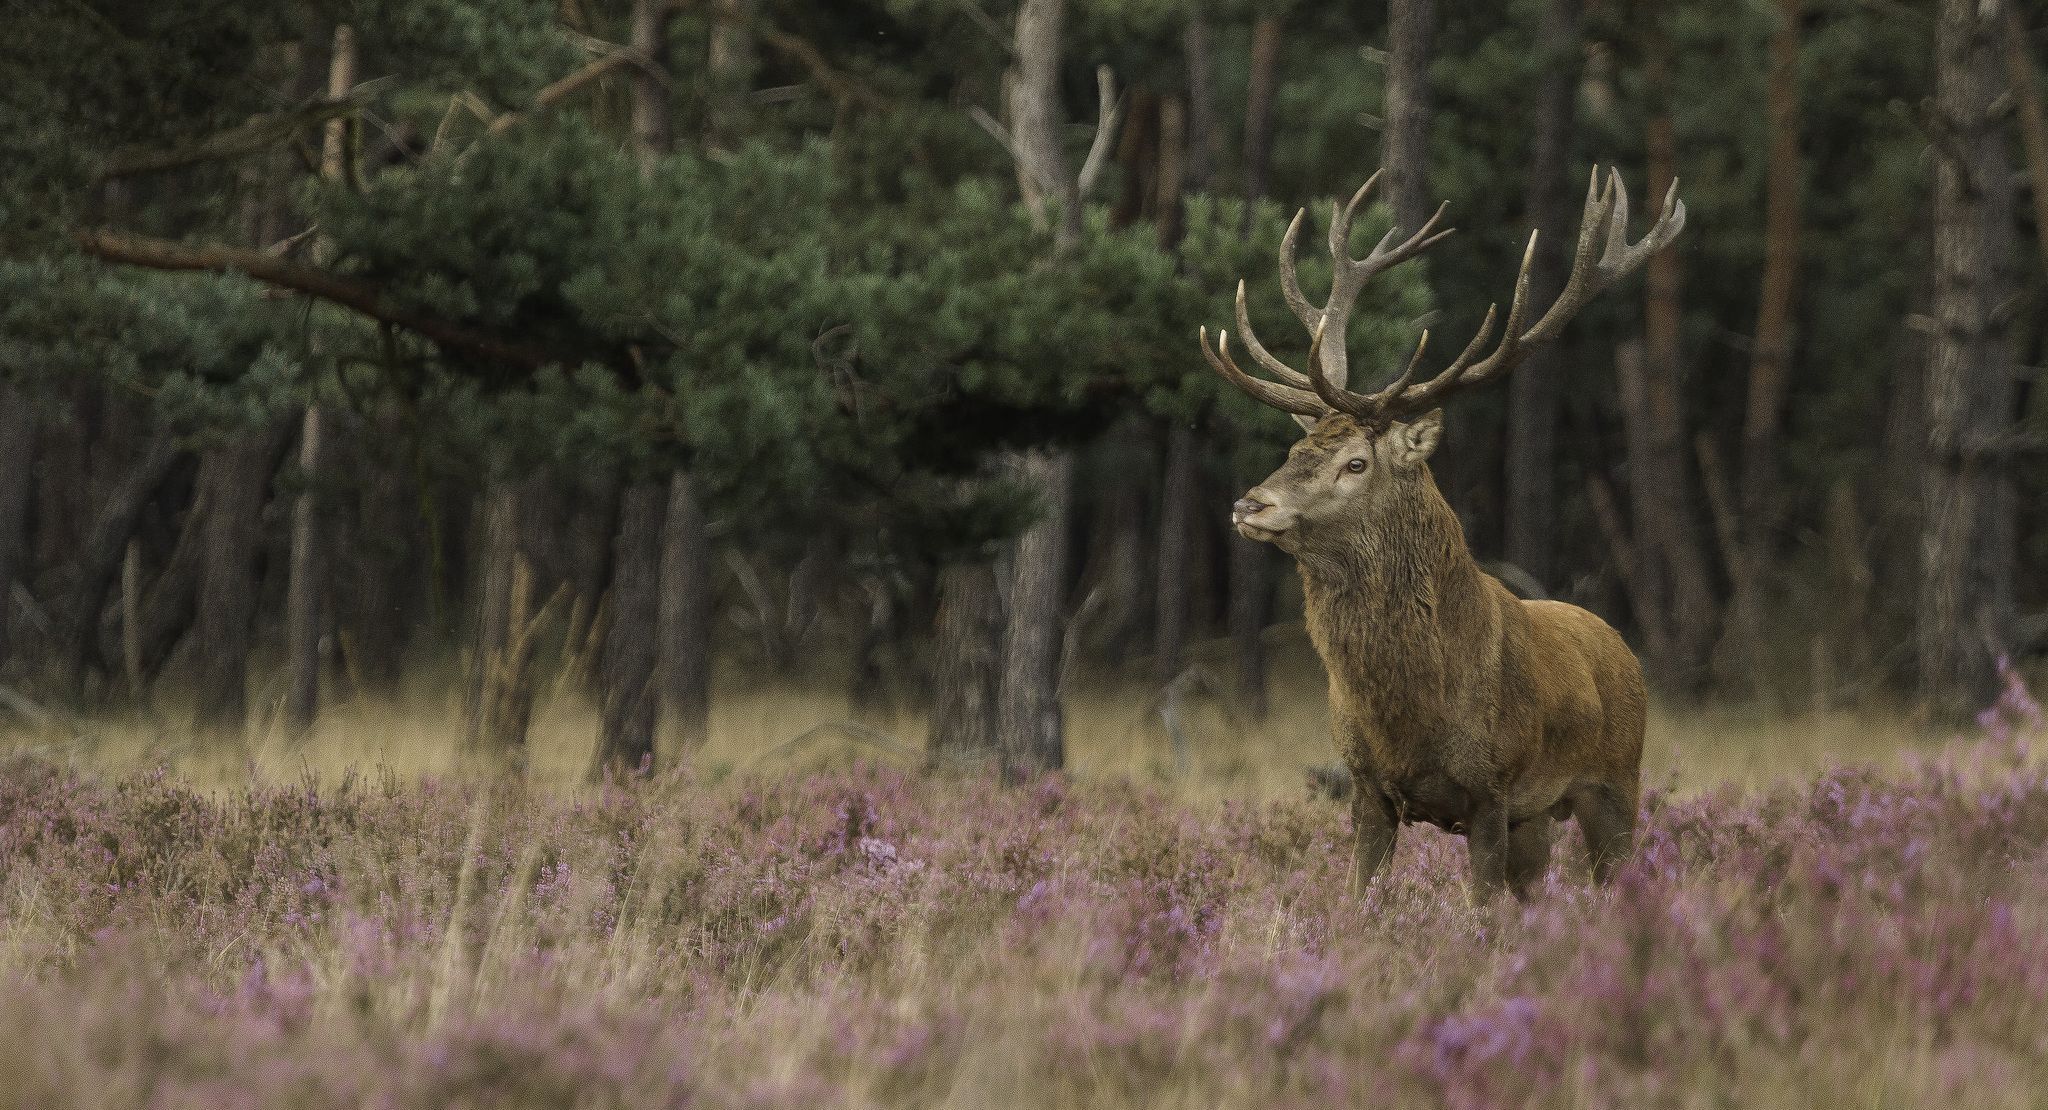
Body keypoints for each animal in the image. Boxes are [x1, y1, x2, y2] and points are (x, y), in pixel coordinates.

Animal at [1196, 167, 1679, 905]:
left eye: (1355, 463)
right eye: (1296, 446)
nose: (1248, 504)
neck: (1412, 714)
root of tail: (1622, 647)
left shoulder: (1492, 789)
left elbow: (1479, 909)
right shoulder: (1366, 787)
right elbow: (1359, 899)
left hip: (1616, 782)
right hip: (1539, 821)